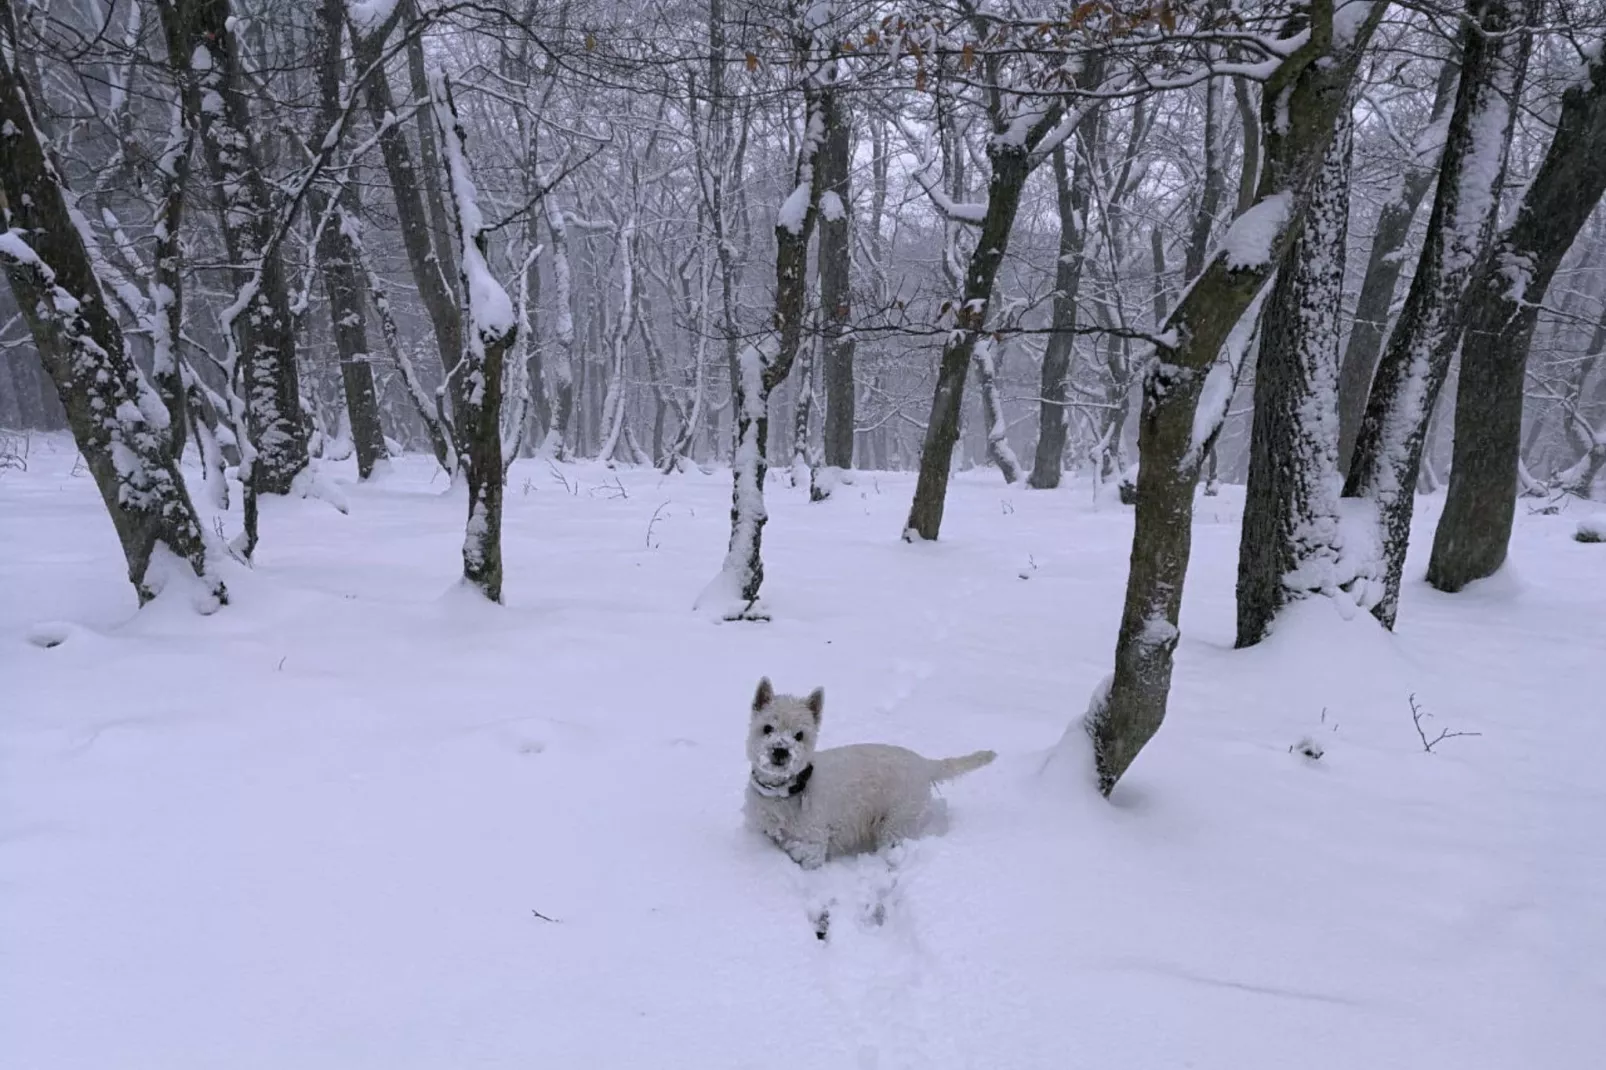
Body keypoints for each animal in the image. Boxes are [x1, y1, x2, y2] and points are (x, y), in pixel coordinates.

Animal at [745, 674, 995, 867]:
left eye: (799, 735)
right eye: (767, 728)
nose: (780, 750)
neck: (782, 793)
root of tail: (924, 764)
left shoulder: (812, 843)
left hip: (896, 822)